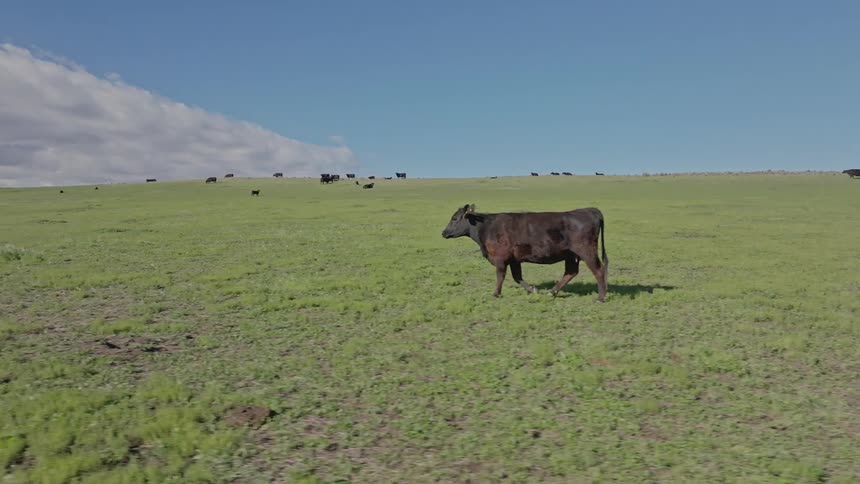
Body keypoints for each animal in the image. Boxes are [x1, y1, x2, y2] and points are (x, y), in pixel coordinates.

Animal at [441, 204, 609, 301]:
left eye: (454, 218)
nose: (443, 233)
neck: (486, 227)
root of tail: (589, 210)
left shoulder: (500, 259)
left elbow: (500, 276)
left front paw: (496, 294)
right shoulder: (514, 260)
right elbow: (517, 277)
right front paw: (533, 290)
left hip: (586, 250)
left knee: (599, 270)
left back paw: (600, 297)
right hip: (570, 254)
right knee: (571, 272)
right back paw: (552, 292)